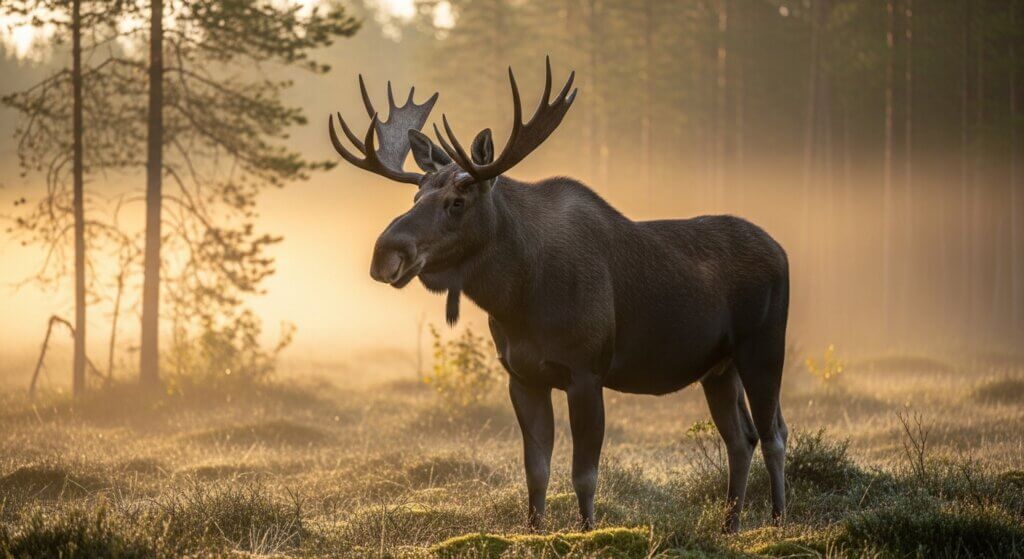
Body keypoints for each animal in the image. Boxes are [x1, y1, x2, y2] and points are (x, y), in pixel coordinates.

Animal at [328, 58, 790, 533]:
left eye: (457, 201)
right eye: (416, 195)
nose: (385, 253)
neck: (518, 299)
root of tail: (781, 250)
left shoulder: (586, 372)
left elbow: (584, 474)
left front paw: (587, 531)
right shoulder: (523, 376)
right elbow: (536, 470)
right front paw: (534, 531)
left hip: (763, 347)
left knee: (773, 434)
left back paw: (778, 519)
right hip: (718, 367)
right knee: (742, 438)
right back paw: (730, 524)